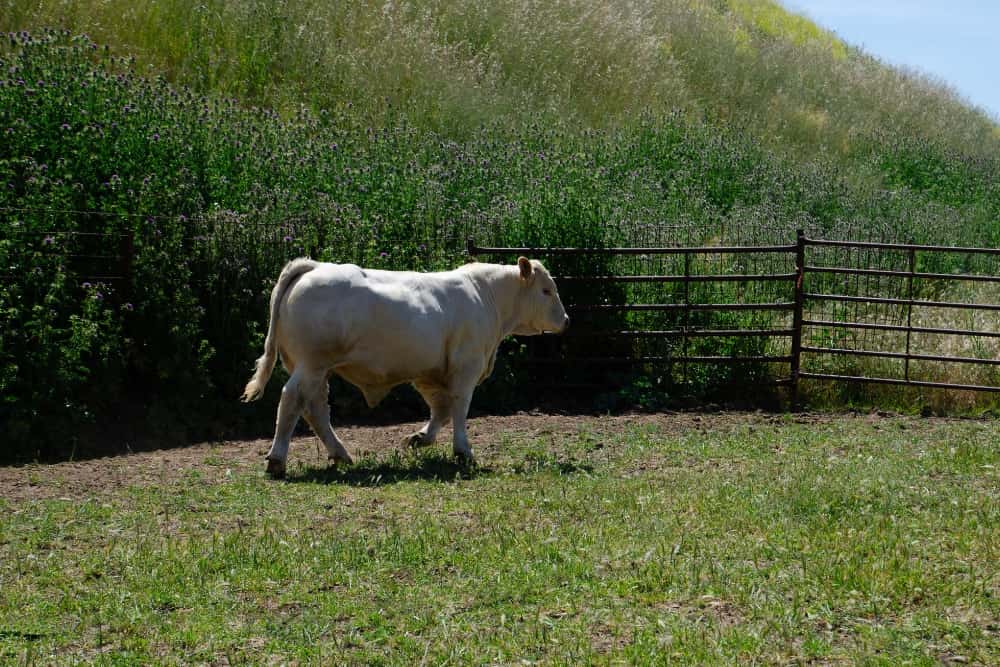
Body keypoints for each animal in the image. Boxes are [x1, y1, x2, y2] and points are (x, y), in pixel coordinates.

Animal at [241, 256, 569, 478]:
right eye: (546, 290)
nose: (566, 321)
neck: (484, 294)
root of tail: (314, 266)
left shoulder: (431, 372)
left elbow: (441, 409)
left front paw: (420, 438)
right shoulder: (466, 366)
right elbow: (459, 408)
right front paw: (463, 450)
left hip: (315, 369)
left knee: (315, 409)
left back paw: (340, 454)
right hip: (312, 364)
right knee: (292, 400)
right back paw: (277, 460)